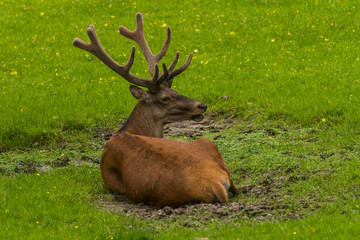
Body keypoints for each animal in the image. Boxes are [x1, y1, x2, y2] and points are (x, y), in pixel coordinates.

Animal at [72, 13, 238, 207]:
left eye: (175, 90)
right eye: (166, 98)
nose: (201, 105)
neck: (126, 131)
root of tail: (214, 183)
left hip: (205, 141)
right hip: (206, 143)